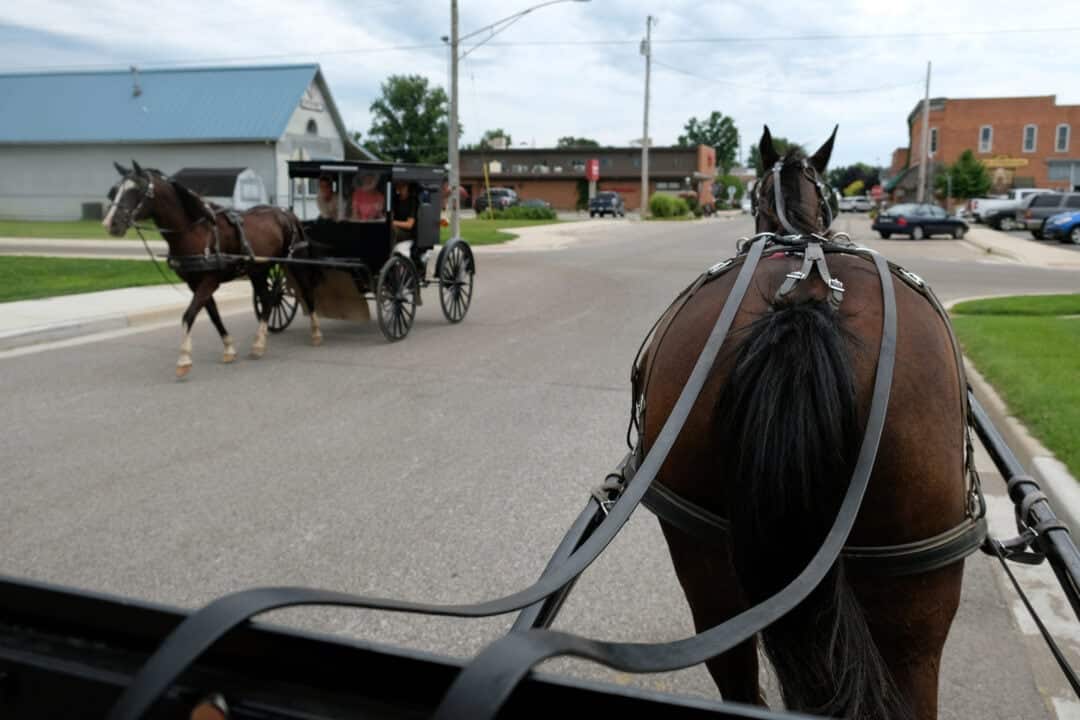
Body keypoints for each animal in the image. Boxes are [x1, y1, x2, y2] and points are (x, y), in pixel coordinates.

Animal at [103, 161, 323, 378]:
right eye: (115, 190)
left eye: (136, 190)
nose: (110, 224)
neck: (195, 232)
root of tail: (287, 213)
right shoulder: (194, 283)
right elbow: (213, 315)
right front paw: (229, 349)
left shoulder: (210, 281)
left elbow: (189, 315)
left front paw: (184, 360)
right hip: (258, 270)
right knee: (268, 298)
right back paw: (259, 343)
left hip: (294, 262)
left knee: (306, 291)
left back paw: (315, 332)